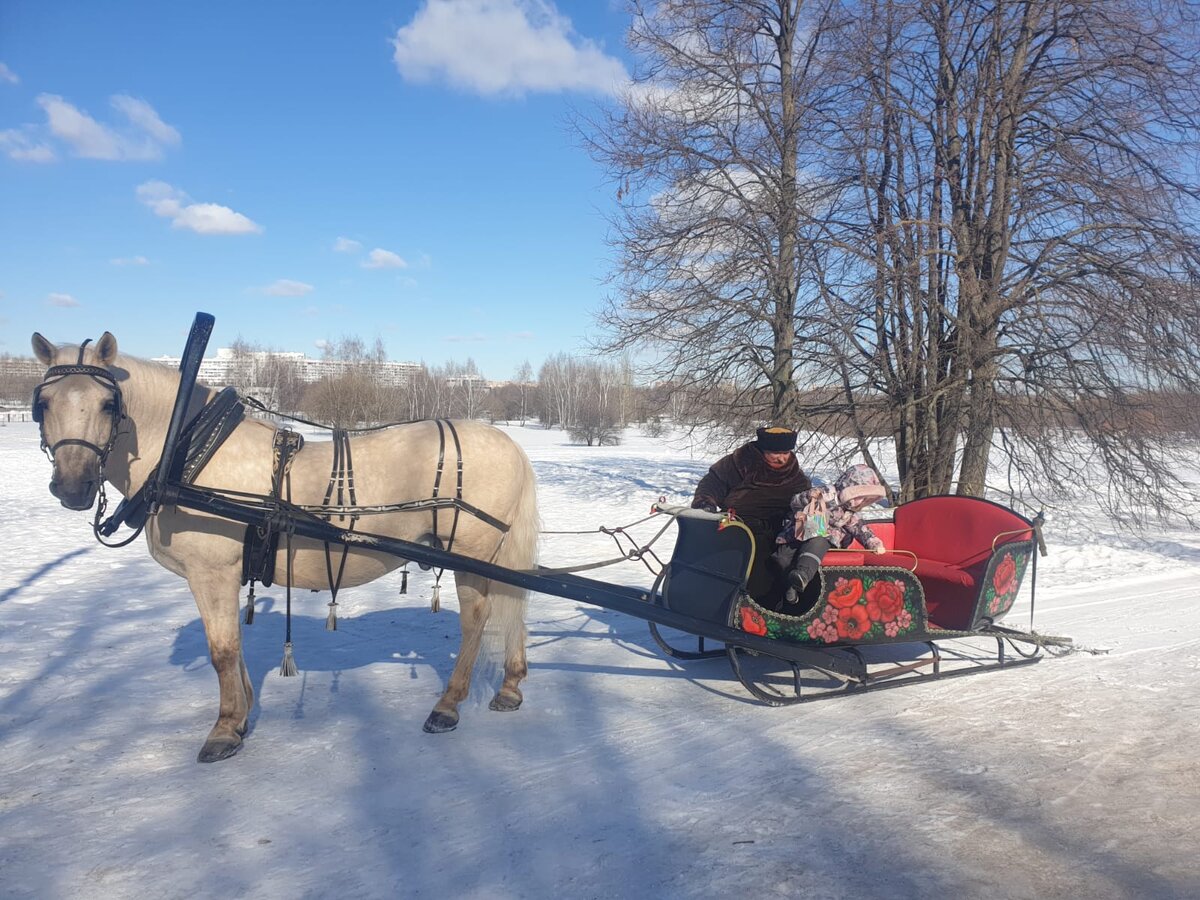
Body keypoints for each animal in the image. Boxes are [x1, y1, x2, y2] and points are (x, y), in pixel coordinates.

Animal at [30, 328, 542, 763]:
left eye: (107, 405)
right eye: (44, 403)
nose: (72, 486)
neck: (186, 453)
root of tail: (509, 444)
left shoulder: (211, 572)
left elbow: (221, 649)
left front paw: (224, 729)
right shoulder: (222, 576)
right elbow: (233, 645)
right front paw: (240, 717)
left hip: (471, 552)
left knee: (477, 620)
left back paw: (448, 704)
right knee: (512, 601)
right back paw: (510, 686)